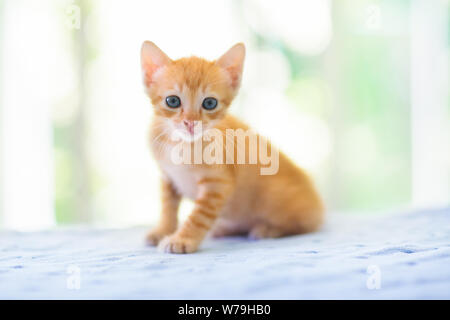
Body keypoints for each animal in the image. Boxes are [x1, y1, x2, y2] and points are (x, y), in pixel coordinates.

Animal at [141, 41, 324, 254]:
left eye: (209, 103)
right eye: (172, 101)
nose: (190, 123)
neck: (180, 144)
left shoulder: (218, 184)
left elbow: (198, 216)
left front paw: (182, 239)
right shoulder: (168, 177)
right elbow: (167, 207)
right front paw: (162, 230)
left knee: (304, 225)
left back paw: (267, 229)